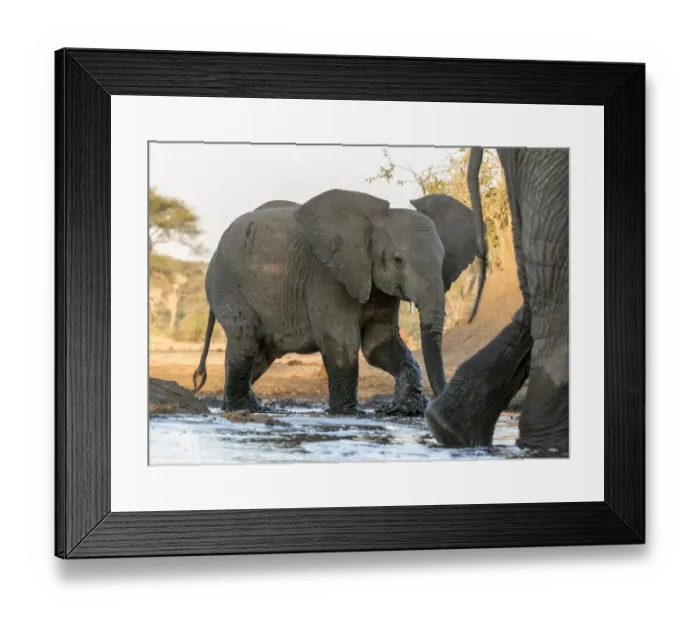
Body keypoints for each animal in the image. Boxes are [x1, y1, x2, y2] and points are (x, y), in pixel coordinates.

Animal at [192, 188, 481, 416]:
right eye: (399, 260)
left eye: (443, 260)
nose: (434, 406)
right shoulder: (327, 277)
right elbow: (343, 342)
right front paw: (348, 413)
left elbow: (379, 344)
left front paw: (405, 409)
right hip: (228, 285)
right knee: (246, 339)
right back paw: (245, 408)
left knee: (262, 353)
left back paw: (247, 406)